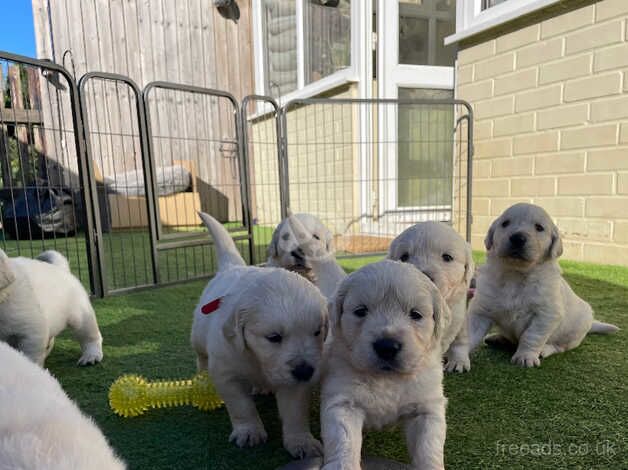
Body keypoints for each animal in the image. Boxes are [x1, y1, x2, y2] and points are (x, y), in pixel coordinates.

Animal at [191, 211, 328, 458]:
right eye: (273, 337)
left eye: (317, 332)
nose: (305, 371)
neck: (258, 361)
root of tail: (231, 267)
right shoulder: (227, 372)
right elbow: (241, 405)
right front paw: (249, 432)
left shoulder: (296, 383)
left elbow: (295, 411)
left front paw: (301, 441)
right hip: (198, 333)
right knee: (201, 356)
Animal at [322, 260, 448, 470]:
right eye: (361, 311)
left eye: (415, 314)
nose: (387, 346)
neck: (387, 378)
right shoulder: (343, 403)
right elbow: (343, 439)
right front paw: (345, 465)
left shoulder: (426, 408)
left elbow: (428, 446)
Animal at [466, 202, 620, 368]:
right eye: (505, 223)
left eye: (539, 227)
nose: (518, 238)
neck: (516, 274)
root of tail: (591, 323)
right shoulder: (482, 309)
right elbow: (470, 332)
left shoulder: (546, 314)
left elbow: (531, 336)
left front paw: (525, 356)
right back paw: (498, 338)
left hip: (574, 332)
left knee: (560, 346)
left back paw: (545, 349)